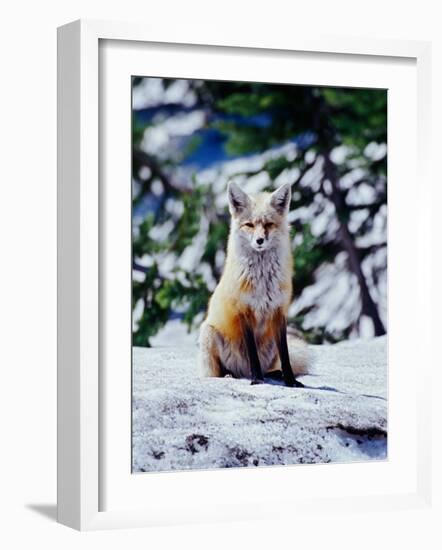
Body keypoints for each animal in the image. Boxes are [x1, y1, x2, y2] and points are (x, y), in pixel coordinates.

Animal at [199, 182, 310, 388]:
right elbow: (252, 354)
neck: (263, 280)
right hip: (208, 333)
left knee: (271, 366)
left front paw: (290, 381)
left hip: (270, 344)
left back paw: (275, 374)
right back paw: (231, 375)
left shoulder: (279, 311)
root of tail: (242, 372)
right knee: (219, 373)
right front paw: (257, 379)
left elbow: (286, 356)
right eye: (249, 225)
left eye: (268, 224)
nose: (259, 241)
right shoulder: (244, 310)